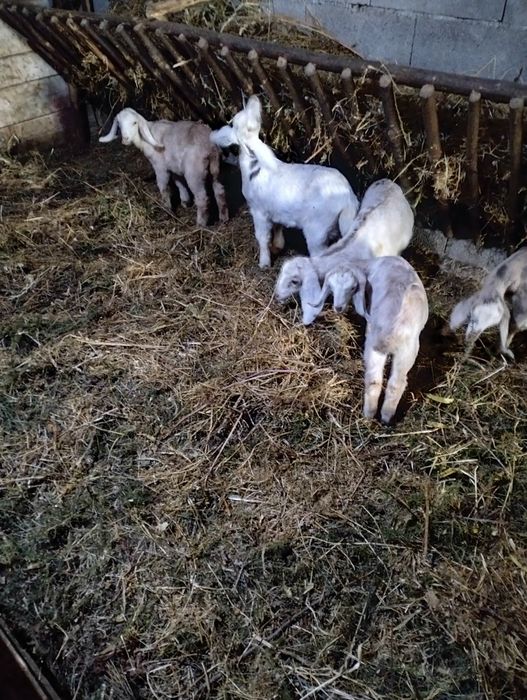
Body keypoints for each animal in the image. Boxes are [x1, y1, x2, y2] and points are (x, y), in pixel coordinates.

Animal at [99, 108, 228, 227]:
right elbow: (179, 183)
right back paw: (223, 218)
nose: (125, 140)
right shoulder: (174, 166)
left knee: (202, 199)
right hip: (217, 170)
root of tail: (211, 147)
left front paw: (167, 210)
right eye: (119, 124)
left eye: (134, 123)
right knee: (220, 191)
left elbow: (163, 187)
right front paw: (185, 202)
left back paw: (200, 224)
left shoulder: (160, 167)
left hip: (194, 173)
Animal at [211, 95, 359, 268]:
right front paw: (277, 246)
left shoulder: (258, 210)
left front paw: (264, 263)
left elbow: (262, 237)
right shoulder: (275, 210)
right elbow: (278, 227)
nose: (253, 98)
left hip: (317, 228)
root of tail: (348, 198)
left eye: (233, 123)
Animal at [313, 257, 428, 423]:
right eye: (332, 286)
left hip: (374, 346)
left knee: (373, 380)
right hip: (408, 351)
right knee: (396, 383)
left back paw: (368, 415)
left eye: (352, 288)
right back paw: (386, 418)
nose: (338, 308)